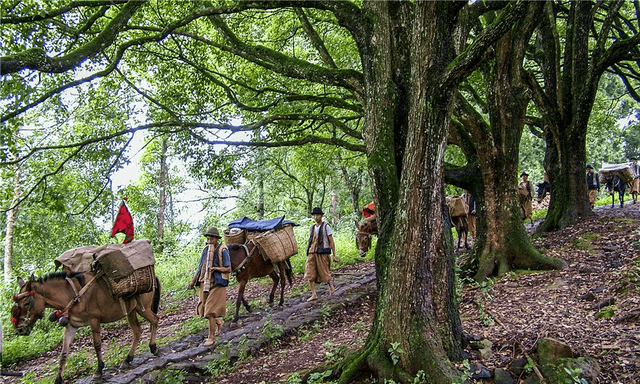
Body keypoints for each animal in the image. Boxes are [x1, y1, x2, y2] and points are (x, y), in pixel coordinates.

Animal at [10, 272, 160, 382]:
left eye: (27, 303)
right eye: (17, 303)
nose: (20, 329)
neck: (71, 295)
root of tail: (154, 276)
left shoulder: (94, 320)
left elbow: (97, 345)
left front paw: (99, 370)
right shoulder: (71, 325)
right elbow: (63, 353)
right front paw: (58, 379)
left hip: (143, 308)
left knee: (155, 320)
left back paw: (153, 347)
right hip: (131, 310)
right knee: (137, 331)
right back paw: (128, 359)